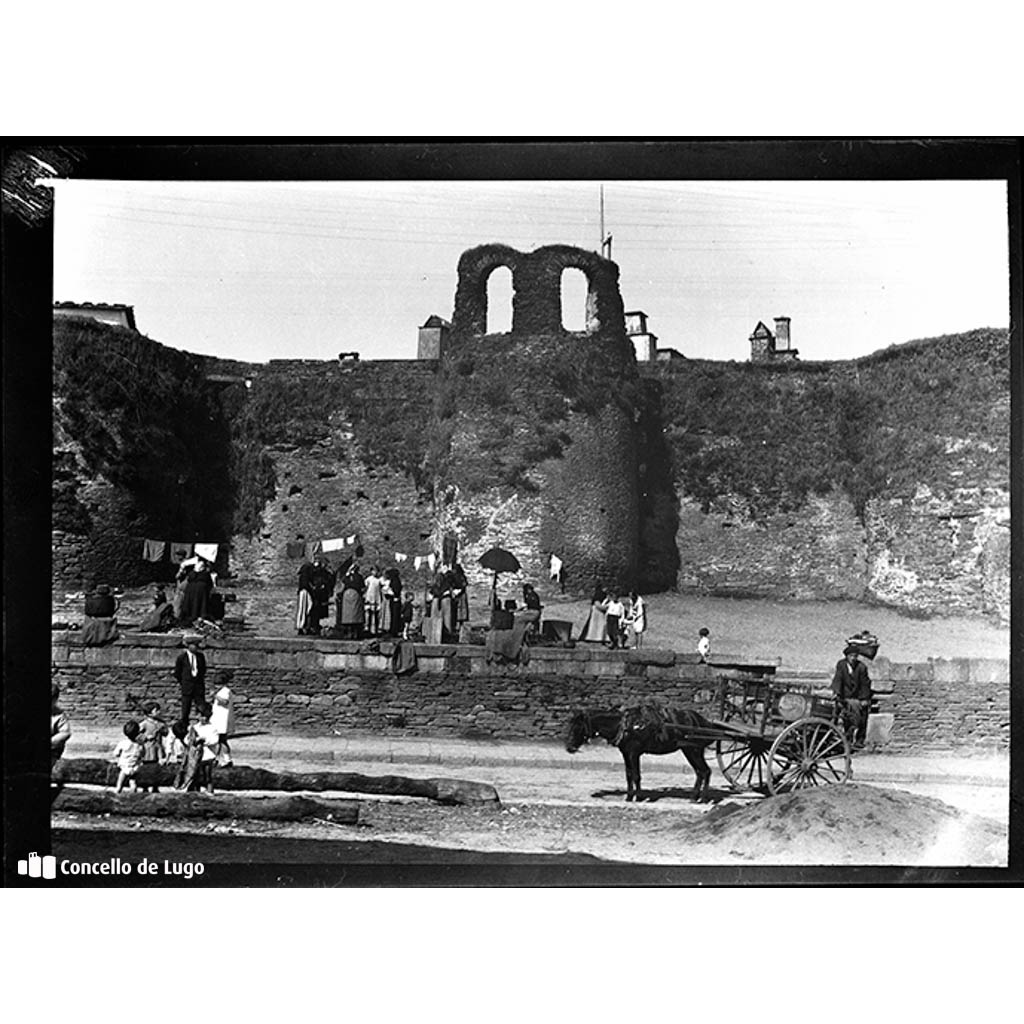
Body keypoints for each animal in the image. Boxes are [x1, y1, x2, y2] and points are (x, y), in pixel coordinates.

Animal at [565, 708, 716, 802]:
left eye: (578, 727)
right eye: (569, 725)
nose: (569, 747)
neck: (625, 726)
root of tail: (700, 720)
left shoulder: (634, 753)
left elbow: (637, 775)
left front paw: (637, 797)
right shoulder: (626, 754)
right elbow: (629, 775)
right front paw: (629, 796)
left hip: (692, 750)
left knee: (705, 771)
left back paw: (703, 798)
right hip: (691, 751)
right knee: (700, 772)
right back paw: (694, 797)